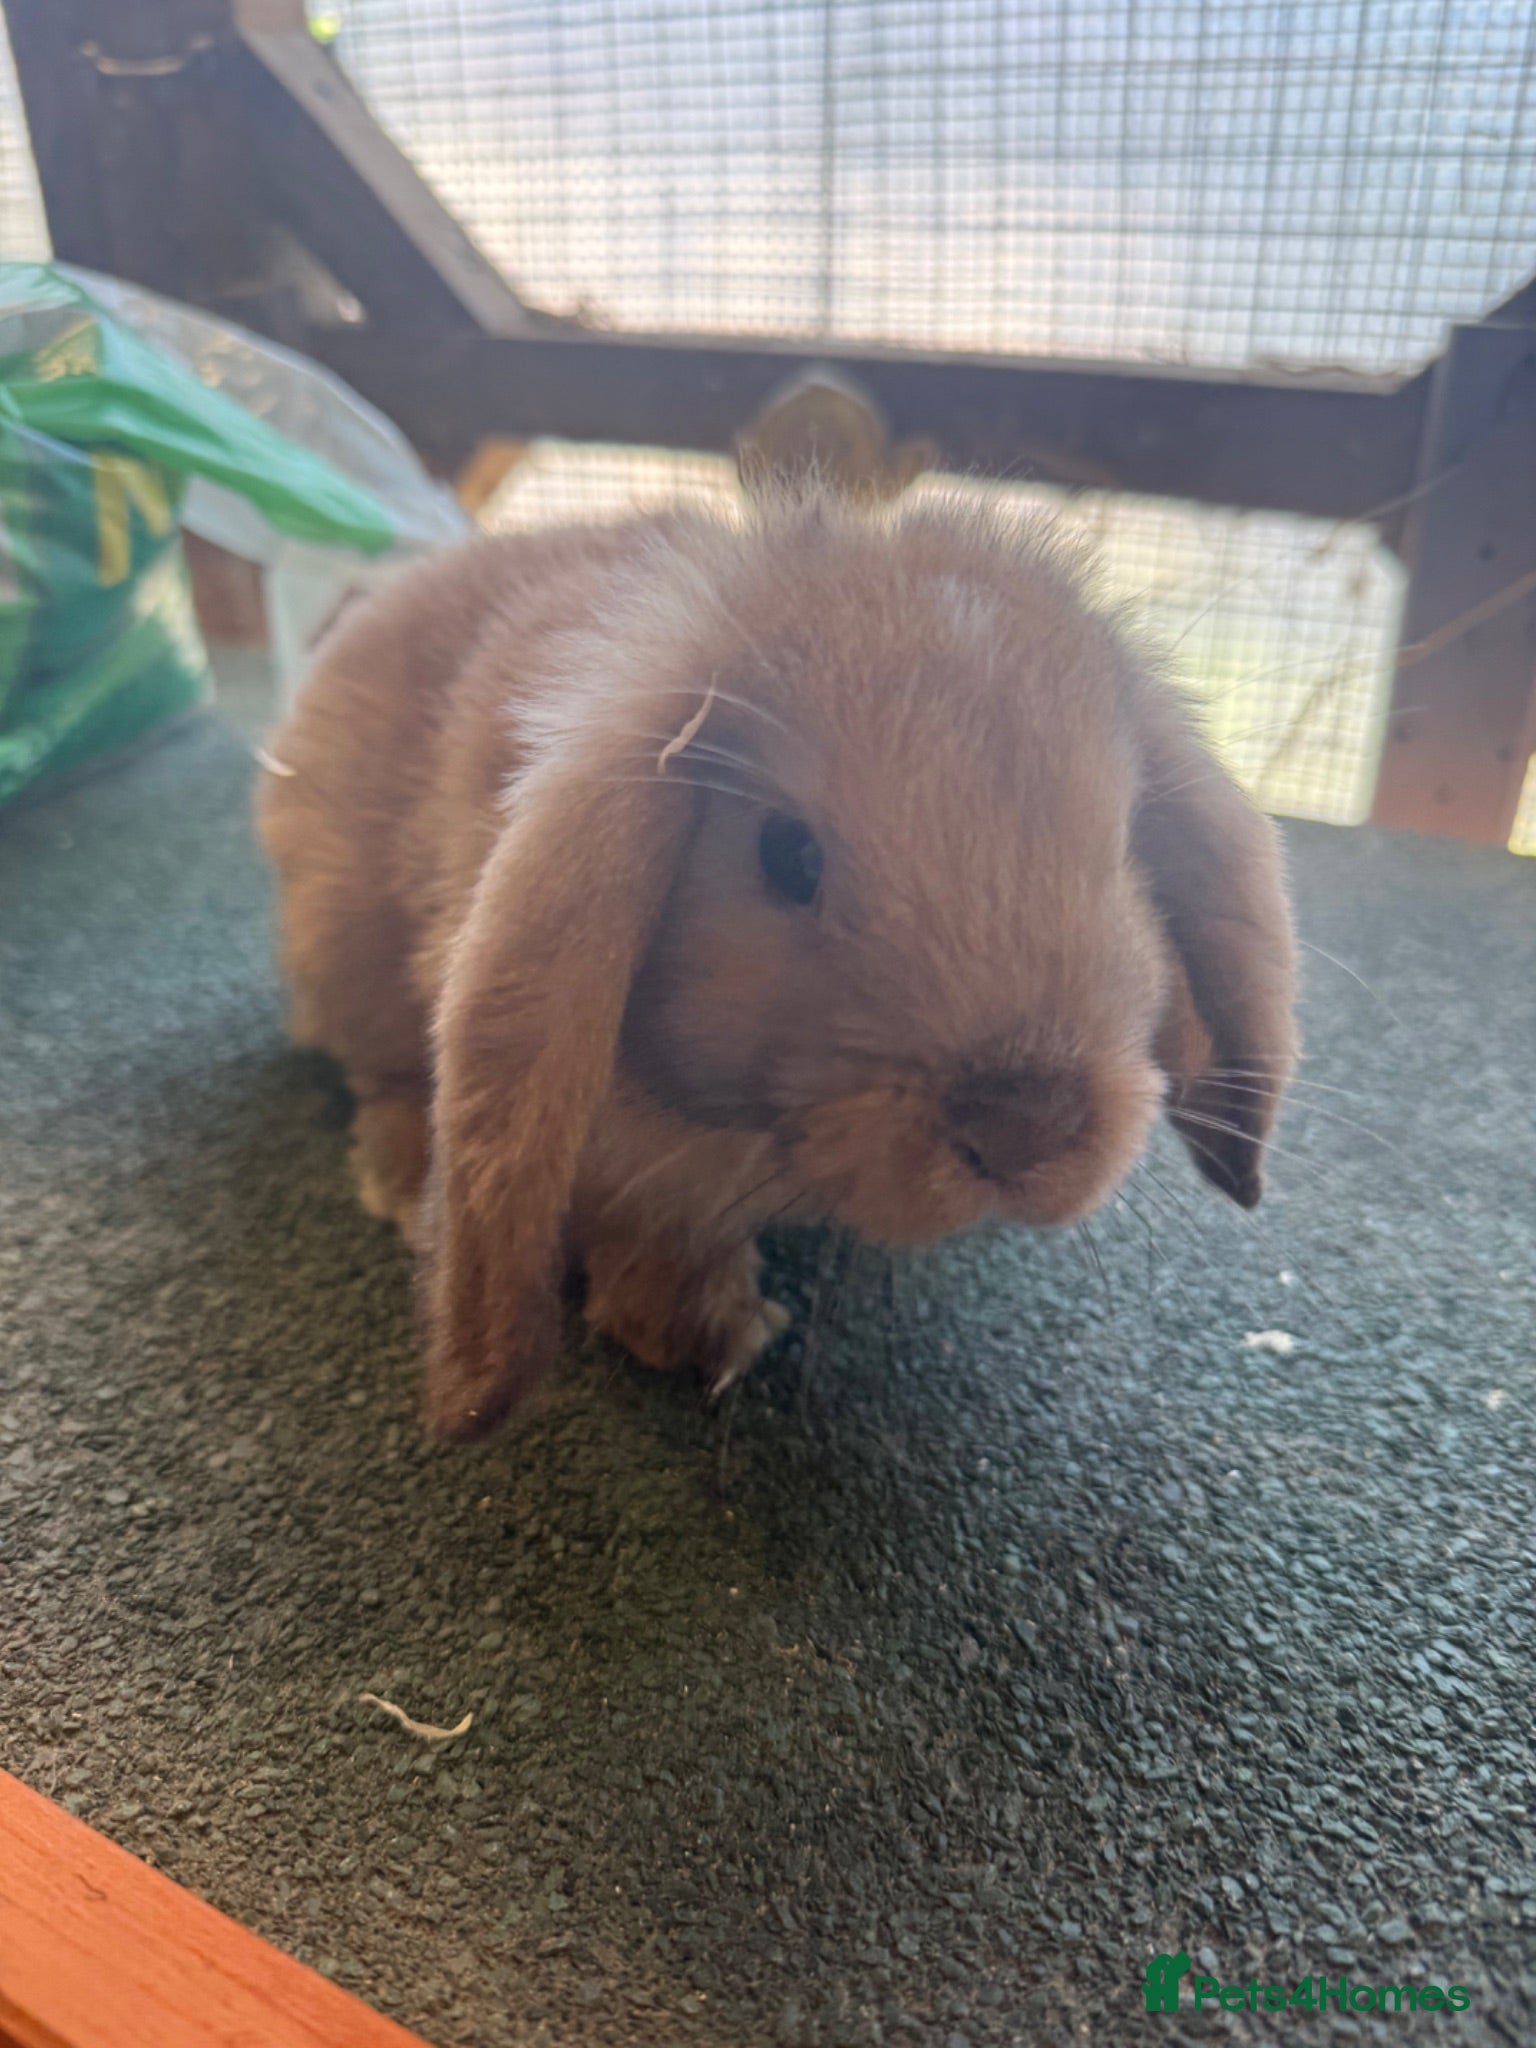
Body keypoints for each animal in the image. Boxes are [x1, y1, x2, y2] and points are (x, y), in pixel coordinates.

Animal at [257, 490, 1296, 1442]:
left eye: (1124, 847)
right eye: (787, 855)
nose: (1023, 1126)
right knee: (385, 1078)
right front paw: (707, 1336)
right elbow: (654, 1230)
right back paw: (401, 1179)